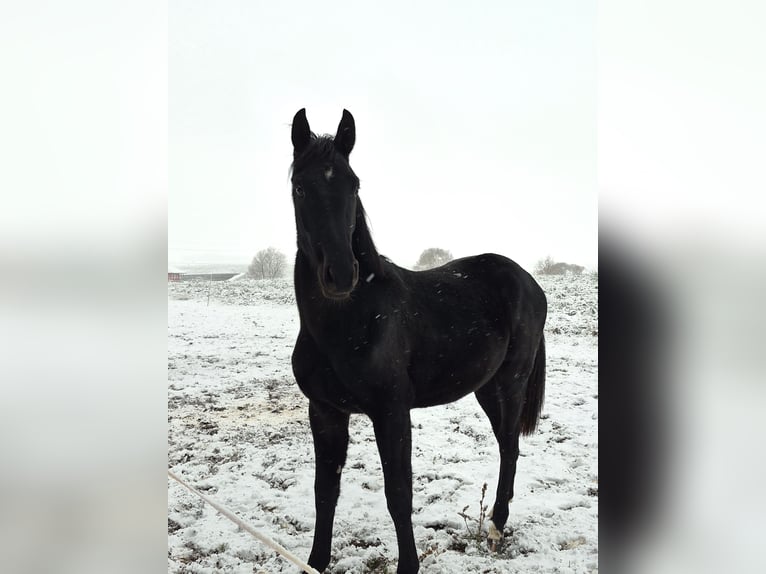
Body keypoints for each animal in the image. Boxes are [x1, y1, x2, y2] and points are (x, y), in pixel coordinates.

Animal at [288, 108, 547, 574]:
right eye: (300, 186)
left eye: (354, 184)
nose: (341, 274)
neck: (349, 321)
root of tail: (528, 281)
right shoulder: (325, 412)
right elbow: (324, 492)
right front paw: (316, 562)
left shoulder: (392, 413)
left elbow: (398, 495)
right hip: (486, 387)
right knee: (507, 445)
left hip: (511, 383)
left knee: (510, 447)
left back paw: (497, 526)